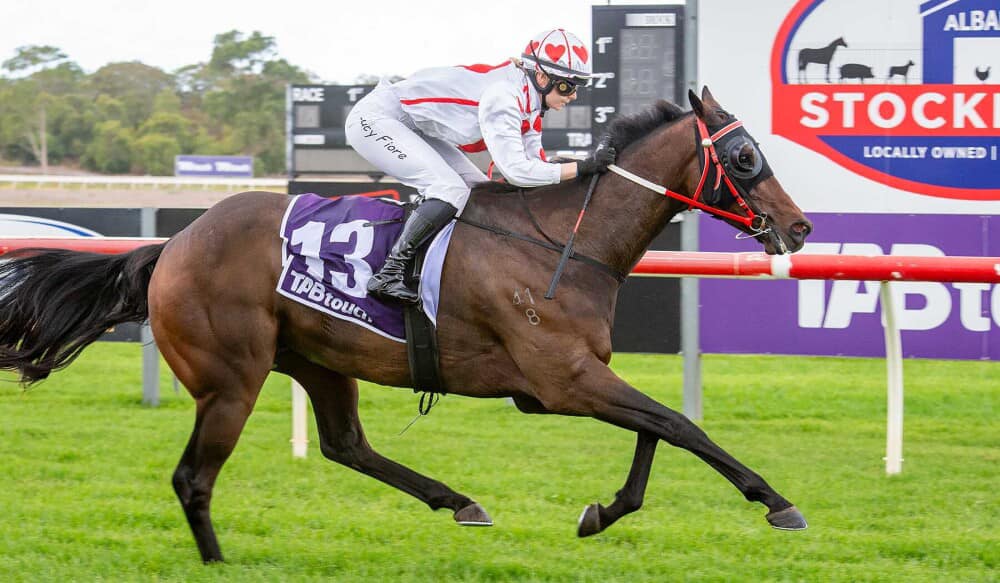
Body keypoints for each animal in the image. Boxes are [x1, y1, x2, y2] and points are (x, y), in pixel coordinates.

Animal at [0, 87, 813, 563]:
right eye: (746, 156)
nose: (800, 226)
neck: (564, 239)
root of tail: (172, 245)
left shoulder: (572, 378)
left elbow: (659, 428)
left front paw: (603, 512)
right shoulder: (561, 380)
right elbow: (679, 424)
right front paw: (776, 500)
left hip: (319, 358)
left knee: (345, 445)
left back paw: (457, 500)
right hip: (231, 378)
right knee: (193, 476)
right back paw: (219, 562)